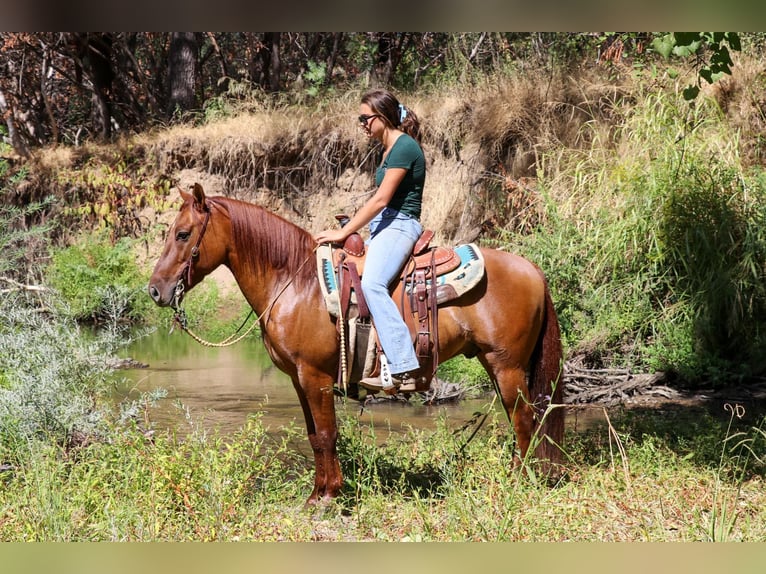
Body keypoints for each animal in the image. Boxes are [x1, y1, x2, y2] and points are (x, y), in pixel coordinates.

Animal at [148, 183, 565, 505]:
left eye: (183, 234)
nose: (155, 290)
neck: (297, 283)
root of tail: (533, 269)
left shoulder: (315, 375)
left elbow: (327, 433)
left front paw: (331, 495)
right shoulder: (298, 378)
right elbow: (314, 436)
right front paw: (316, 494)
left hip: (506, 365)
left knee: (524, 419)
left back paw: (520, 481)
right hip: (496, 364)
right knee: (521, 419)